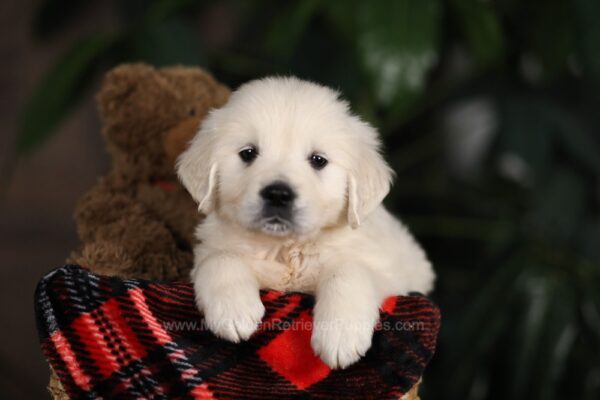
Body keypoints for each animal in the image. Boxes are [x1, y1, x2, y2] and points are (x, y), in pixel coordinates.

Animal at [176, 76, 434, 370]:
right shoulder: (209, 249)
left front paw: (340, 335)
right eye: (248, 153)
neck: (285, 248)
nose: (278, 194)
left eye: (318, 160)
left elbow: (349, 271)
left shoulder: (389, 272)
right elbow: (220, 258)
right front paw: (233, 309)